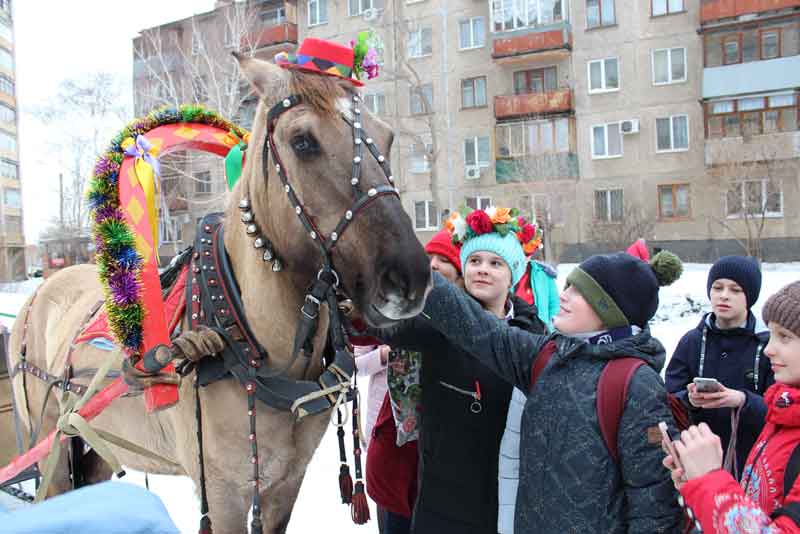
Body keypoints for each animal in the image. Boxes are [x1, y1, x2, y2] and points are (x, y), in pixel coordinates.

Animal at [6, 52, 432, 532]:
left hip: (92, 446)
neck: (246, 339)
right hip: (54, 443)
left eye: (387, 137)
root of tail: (41, 291)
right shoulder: (224, 491)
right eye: (302, 141)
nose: (409, 280)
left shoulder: (286, 482)